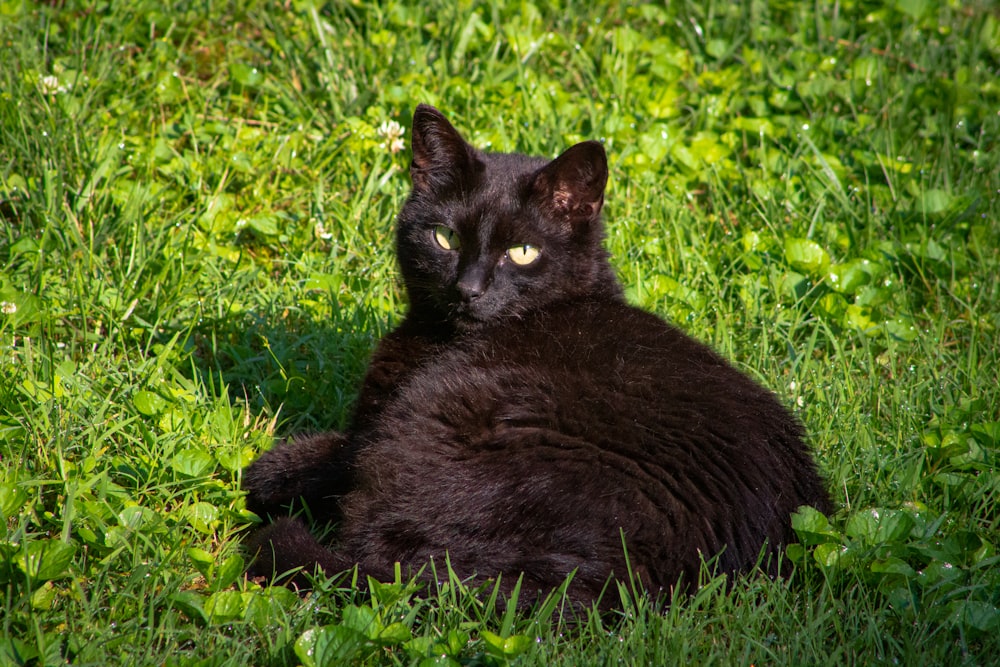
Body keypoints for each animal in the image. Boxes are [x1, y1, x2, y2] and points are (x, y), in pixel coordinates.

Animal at [240, 103, 828, 604]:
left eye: (522, 252)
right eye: (445, 238)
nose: (469, 289)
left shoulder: (367, 433)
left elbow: (319, 459)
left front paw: (268, 469)